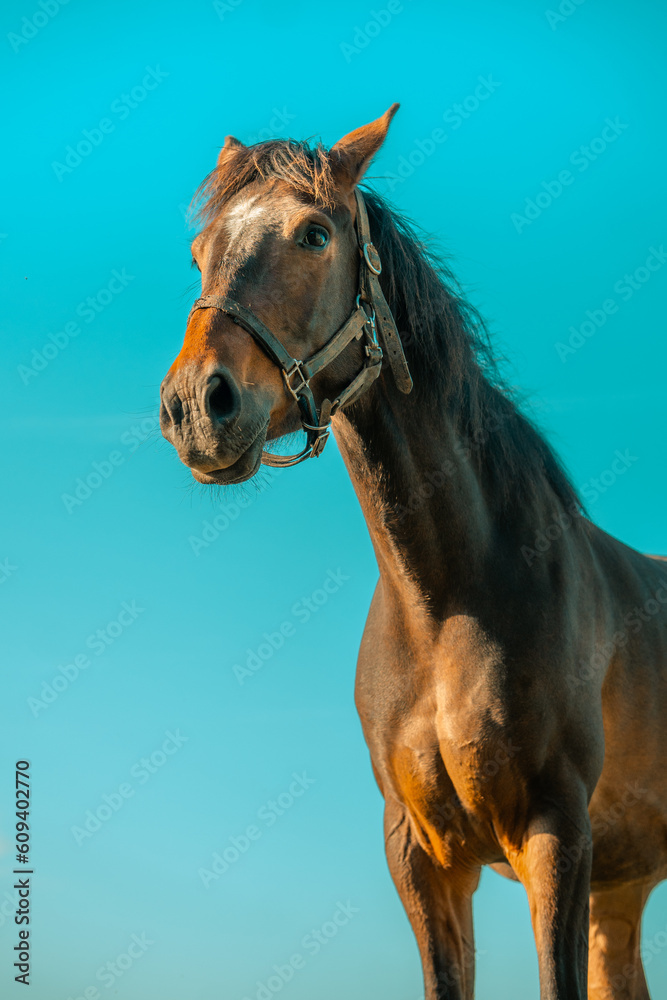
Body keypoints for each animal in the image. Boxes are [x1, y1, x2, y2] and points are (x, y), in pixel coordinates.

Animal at [159, 105, 667, 999]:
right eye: (199, 252)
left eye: (314, 234)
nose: (195, 404)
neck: (449, 601)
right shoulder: (422, 855)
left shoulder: (556, 833)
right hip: (623, 883)